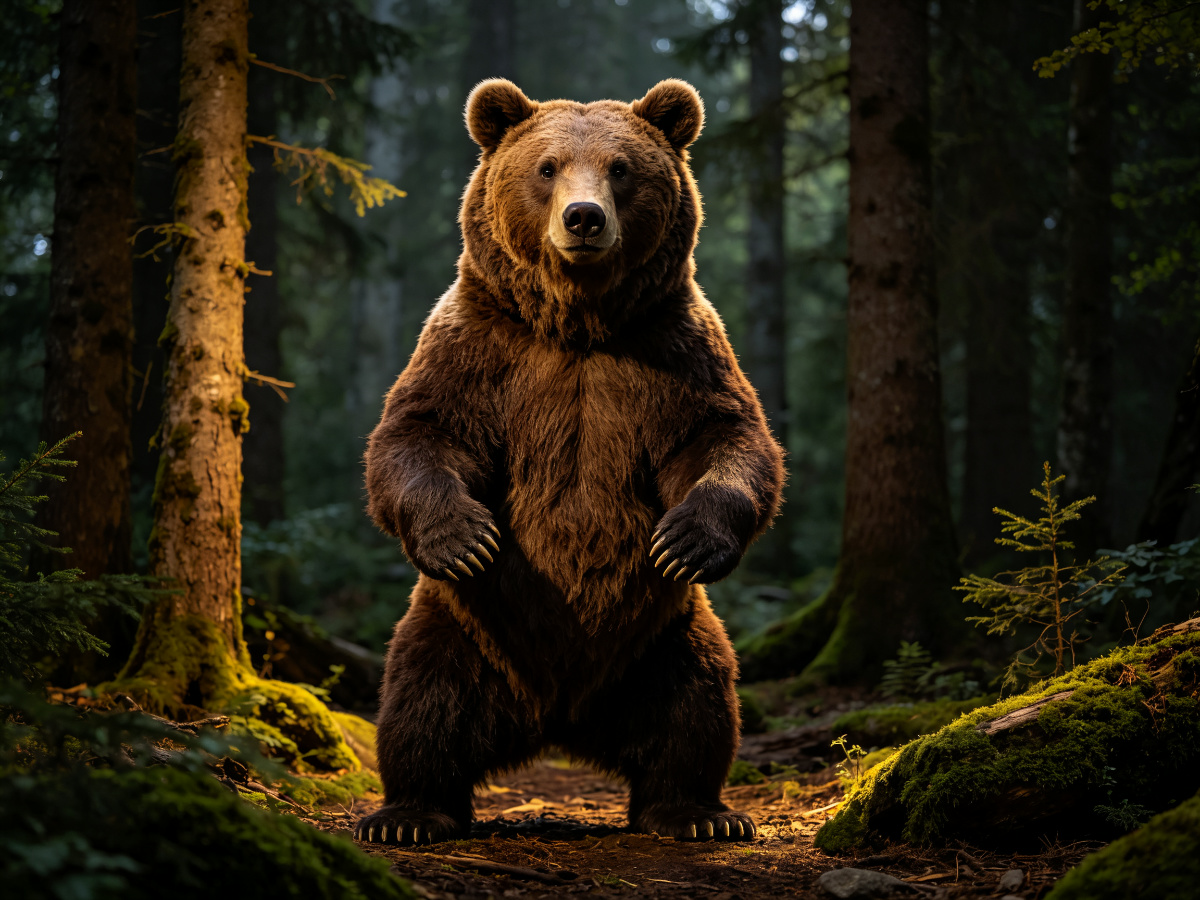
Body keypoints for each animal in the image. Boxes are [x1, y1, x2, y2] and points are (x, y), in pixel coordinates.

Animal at [356, 78, 785, 846]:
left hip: (666, 639)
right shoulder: (478, 348)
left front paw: (686, 539)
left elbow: (728, 438)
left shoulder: (674, 350)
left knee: (699, 707)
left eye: (622, 168)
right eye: (547, 166)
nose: (584, 218)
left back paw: (698, 812)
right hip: (457, 631)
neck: (578, 325)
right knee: (418, 704)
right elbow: (416, 435)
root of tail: (560, 720)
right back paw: (409, 814)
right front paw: (464, 537)